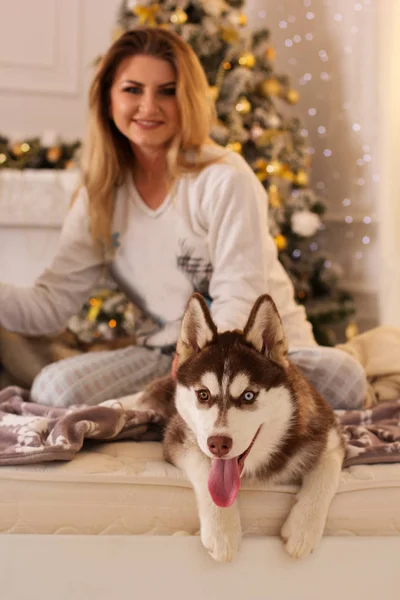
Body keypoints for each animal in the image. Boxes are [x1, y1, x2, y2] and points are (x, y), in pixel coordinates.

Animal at [138, 294, 344, 564]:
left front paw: (303, 528)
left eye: (248, 395)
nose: (218, 444)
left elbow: (326, 472)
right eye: (203, 394)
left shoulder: (329, 434)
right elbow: (205, 468)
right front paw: (222, 531)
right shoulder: (177, 436)